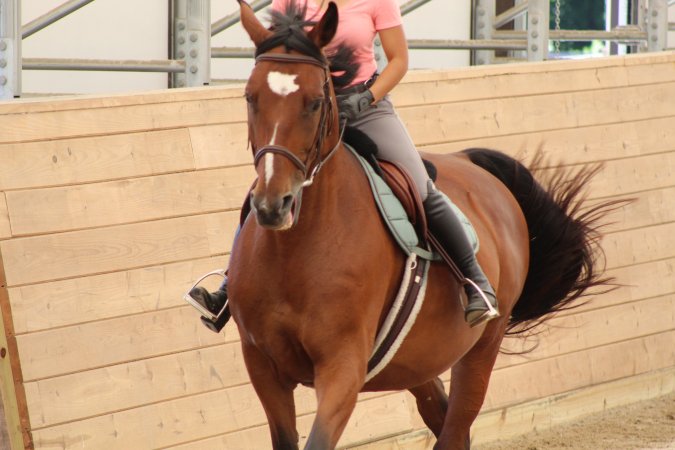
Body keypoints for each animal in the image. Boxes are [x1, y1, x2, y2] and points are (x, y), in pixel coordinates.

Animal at [226, 1, 616, 448]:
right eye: (250, 97)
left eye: (315, 102)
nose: (274, 205)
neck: (296, 252)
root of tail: (471, 163)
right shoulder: (262, 365)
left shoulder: (343, 367)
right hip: (416, 361)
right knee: (442, 416)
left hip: (482, 348)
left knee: (456, 427)